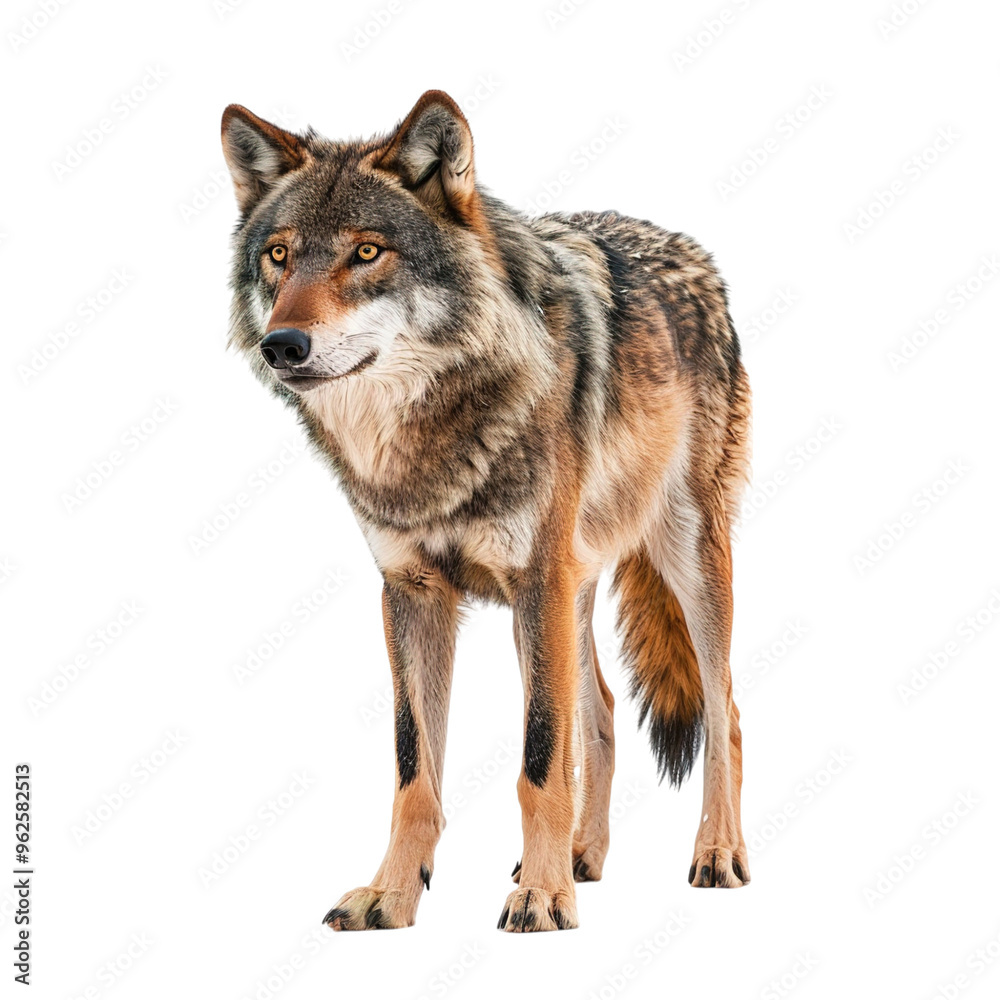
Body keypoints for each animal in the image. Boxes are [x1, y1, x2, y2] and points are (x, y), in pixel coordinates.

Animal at [222, 90, 752, 932]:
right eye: (278, 255)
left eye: (367, 252)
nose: (283, 345)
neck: (426, 442)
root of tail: (690, 250)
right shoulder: (412, 593)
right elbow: (416, 771)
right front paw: (392, 894)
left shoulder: (534, 582)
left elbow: (538, 761)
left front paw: (540, 897)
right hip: (572, 594)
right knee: (601, 712)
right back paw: (583, 856)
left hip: (683, 561)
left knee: (723, 710)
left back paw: (717, 853)